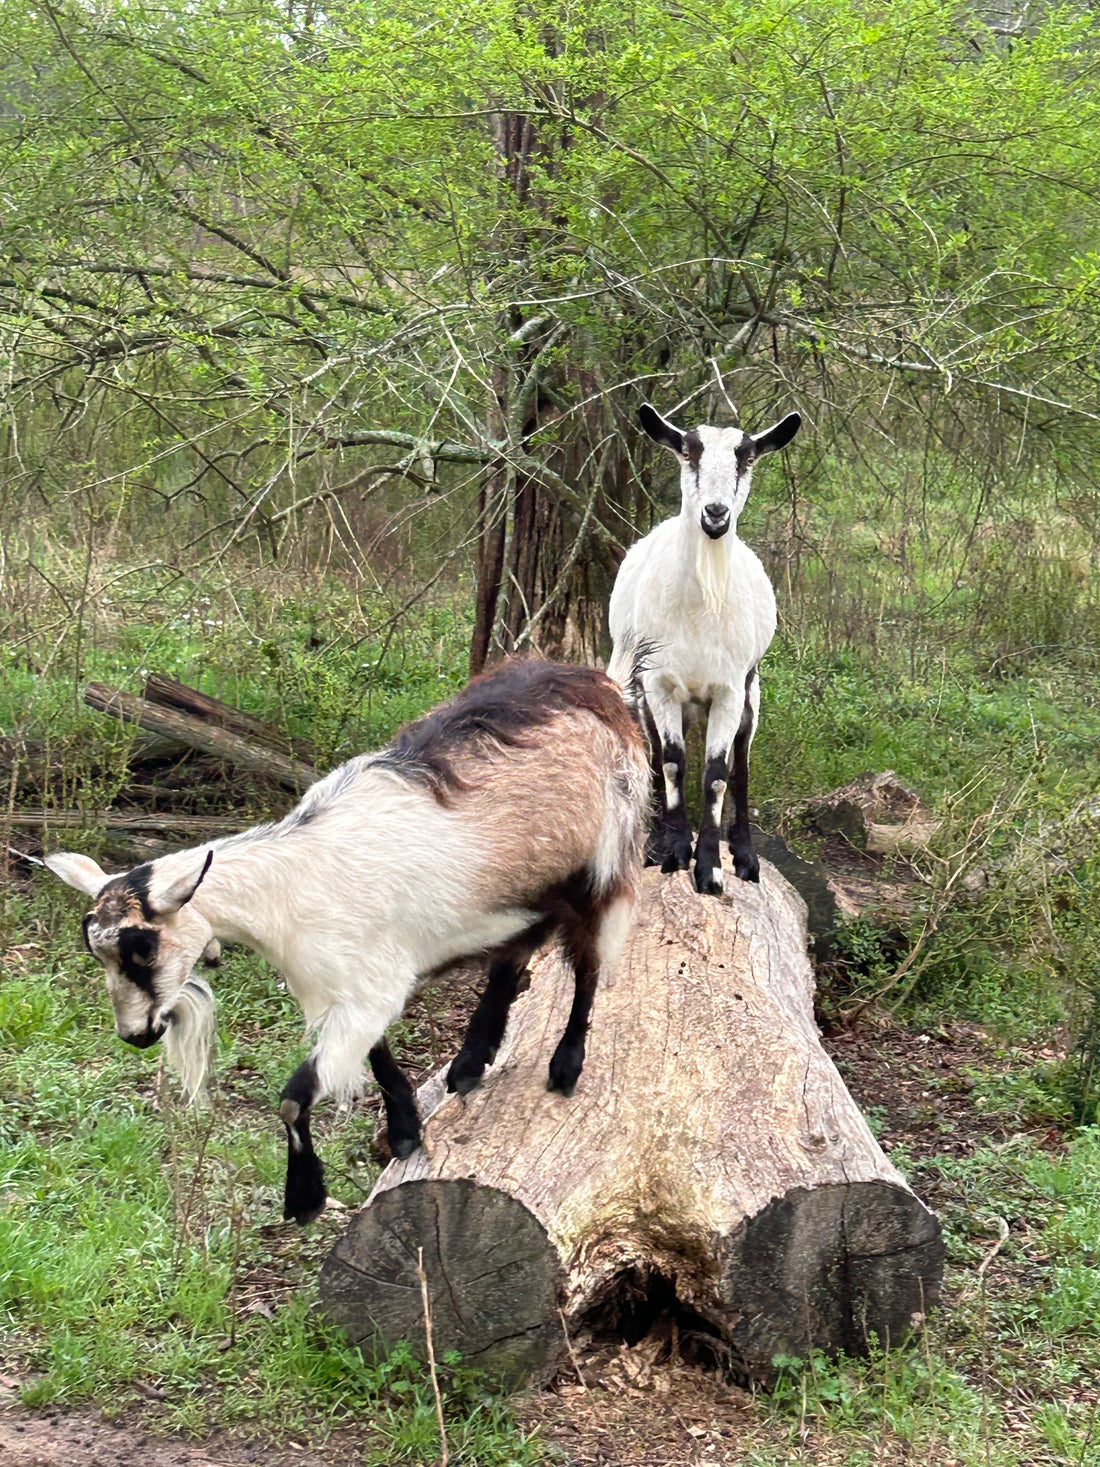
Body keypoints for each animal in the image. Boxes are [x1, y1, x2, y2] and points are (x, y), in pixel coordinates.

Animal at [607, 396, 803, 891]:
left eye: (746, 457)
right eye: (687, 451)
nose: (715, 514)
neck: (700, 611)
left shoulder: (730, 689)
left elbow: (717, 775)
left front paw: (711, 867)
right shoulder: (659, 685)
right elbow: (672, 762)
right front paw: (675, 851)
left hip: (753, 691)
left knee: (742, 764)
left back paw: (746, 857)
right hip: (639, 687)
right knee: (655, 756)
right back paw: (656, 842)